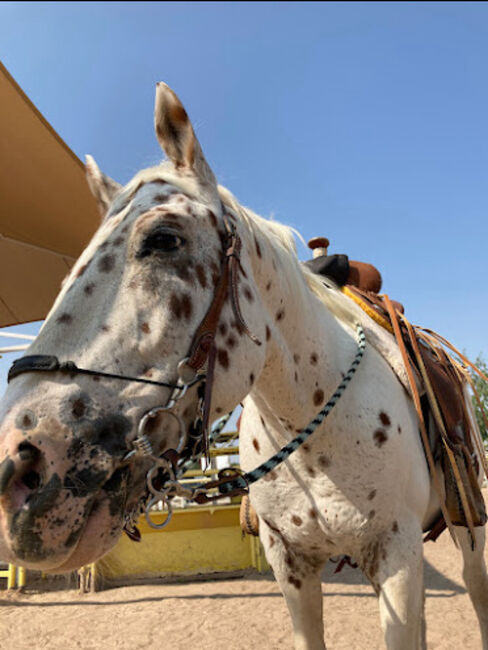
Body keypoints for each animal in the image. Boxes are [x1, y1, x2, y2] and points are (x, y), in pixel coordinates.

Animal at [0, 82, 486, 648]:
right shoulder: (290, 564)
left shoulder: (398, 557)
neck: (316, 431)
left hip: (468, 526)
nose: (18, 466)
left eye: (164, 238)